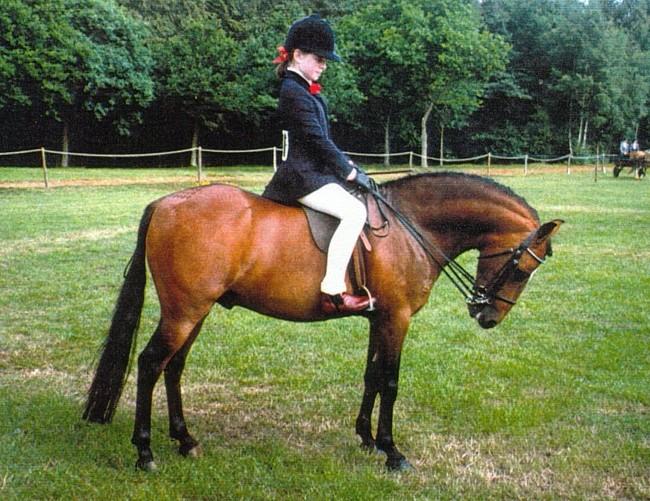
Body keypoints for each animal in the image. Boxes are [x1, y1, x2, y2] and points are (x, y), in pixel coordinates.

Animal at [82, 172, 563, 471]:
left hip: (193, 312)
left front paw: (366, 439)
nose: (487, 316)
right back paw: (145, 452)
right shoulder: (396, 319)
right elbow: (390, 381)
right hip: (184, 312)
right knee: (150, 364)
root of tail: (166, 202)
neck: (412, 227)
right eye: (522, 268)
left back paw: (185, 440)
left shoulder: (379, 318)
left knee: (173, 367)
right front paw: (392, 452)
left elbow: (372, 376)